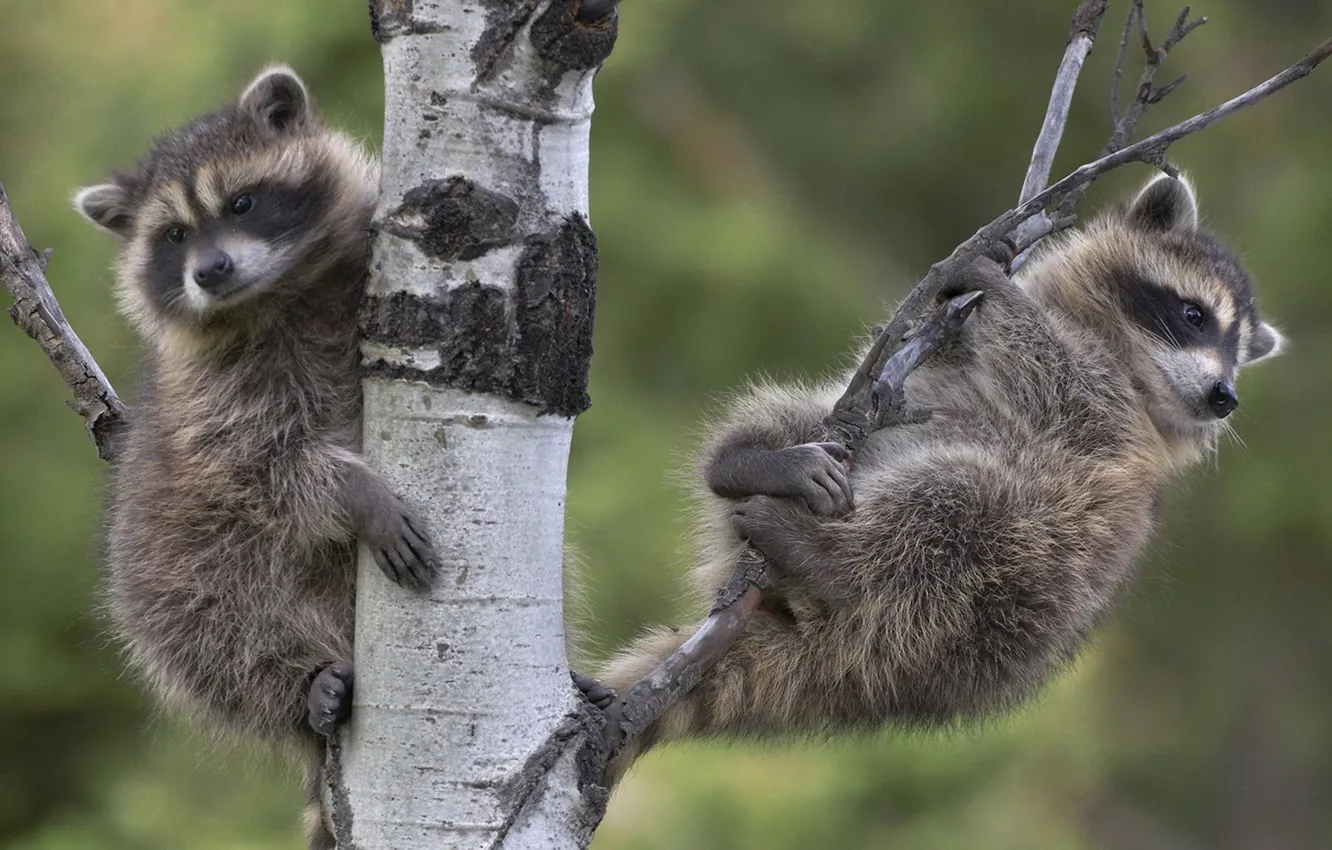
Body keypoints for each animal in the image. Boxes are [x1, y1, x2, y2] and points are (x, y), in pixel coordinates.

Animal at [74, 66, 438, 848]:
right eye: (175, 234)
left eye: (241, 202)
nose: (210, 270)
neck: (278, 294)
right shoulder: (211, 399)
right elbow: (263, 467)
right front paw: (355, 493)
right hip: (166, 564)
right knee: (204, 634)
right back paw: (300, 687)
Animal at [592, 174, 1284, 784]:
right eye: (1194, 315)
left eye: (1238, 353)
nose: (1225, 396)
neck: (1121, 354)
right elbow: (914, 343)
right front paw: (980, 277)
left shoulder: (1115, 429)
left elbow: (1061, 386)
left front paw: (1002, 295)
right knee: (800, 415)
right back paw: (749, 461)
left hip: (1005, 595)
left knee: (955, 511)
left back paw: (831, 560)